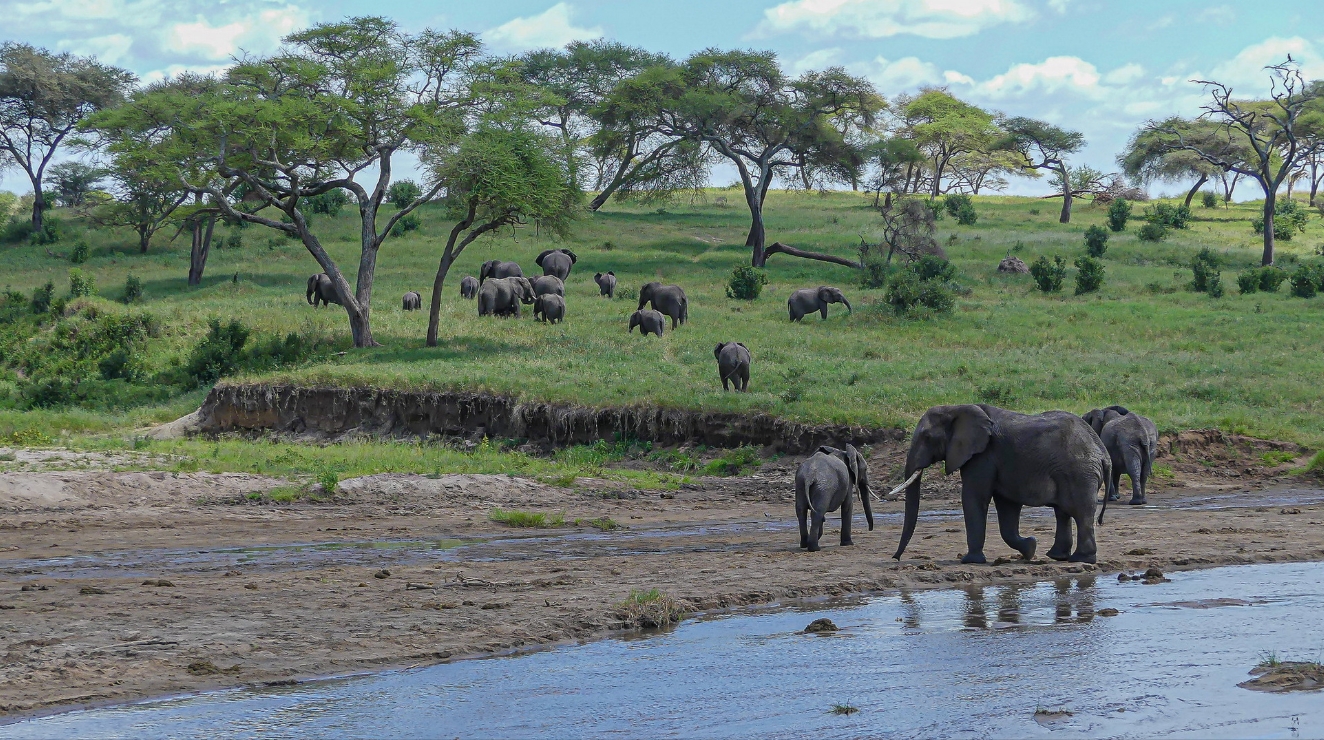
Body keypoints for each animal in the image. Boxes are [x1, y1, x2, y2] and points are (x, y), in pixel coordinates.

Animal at [893, 404, 1110, 565]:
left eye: (927, 437)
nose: (896, 558)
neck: (956, 408)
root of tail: (1102, 451)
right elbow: (1007, 506)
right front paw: (1030, 548)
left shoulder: (982, 455)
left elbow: (974, 497)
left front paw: (970, 561)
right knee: (1063, 512)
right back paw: (1057, 556)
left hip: (1080, 472)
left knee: (1080, 513)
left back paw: (1081, 559)